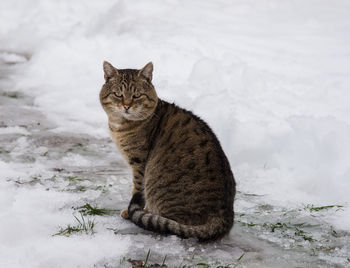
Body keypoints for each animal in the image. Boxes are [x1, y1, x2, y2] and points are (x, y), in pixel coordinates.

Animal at [99, 61, 235, 241]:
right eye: (118, 94)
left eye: (137, 95)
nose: (126, 105)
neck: (120, 124)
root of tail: (224, 218)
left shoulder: (139, 163)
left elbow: (137, 188)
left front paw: (131, 211)